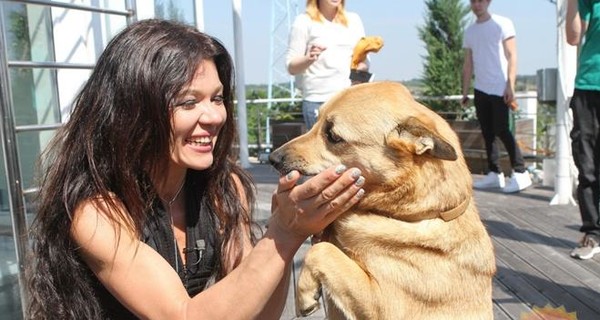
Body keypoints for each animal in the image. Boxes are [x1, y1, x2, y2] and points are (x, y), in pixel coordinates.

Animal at [270, 82, 496, 320]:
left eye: (332, 135)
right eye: (316, 122)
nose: (272, 159)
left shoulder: (384, 304)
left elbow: (321, 251)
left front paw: (304, 297)